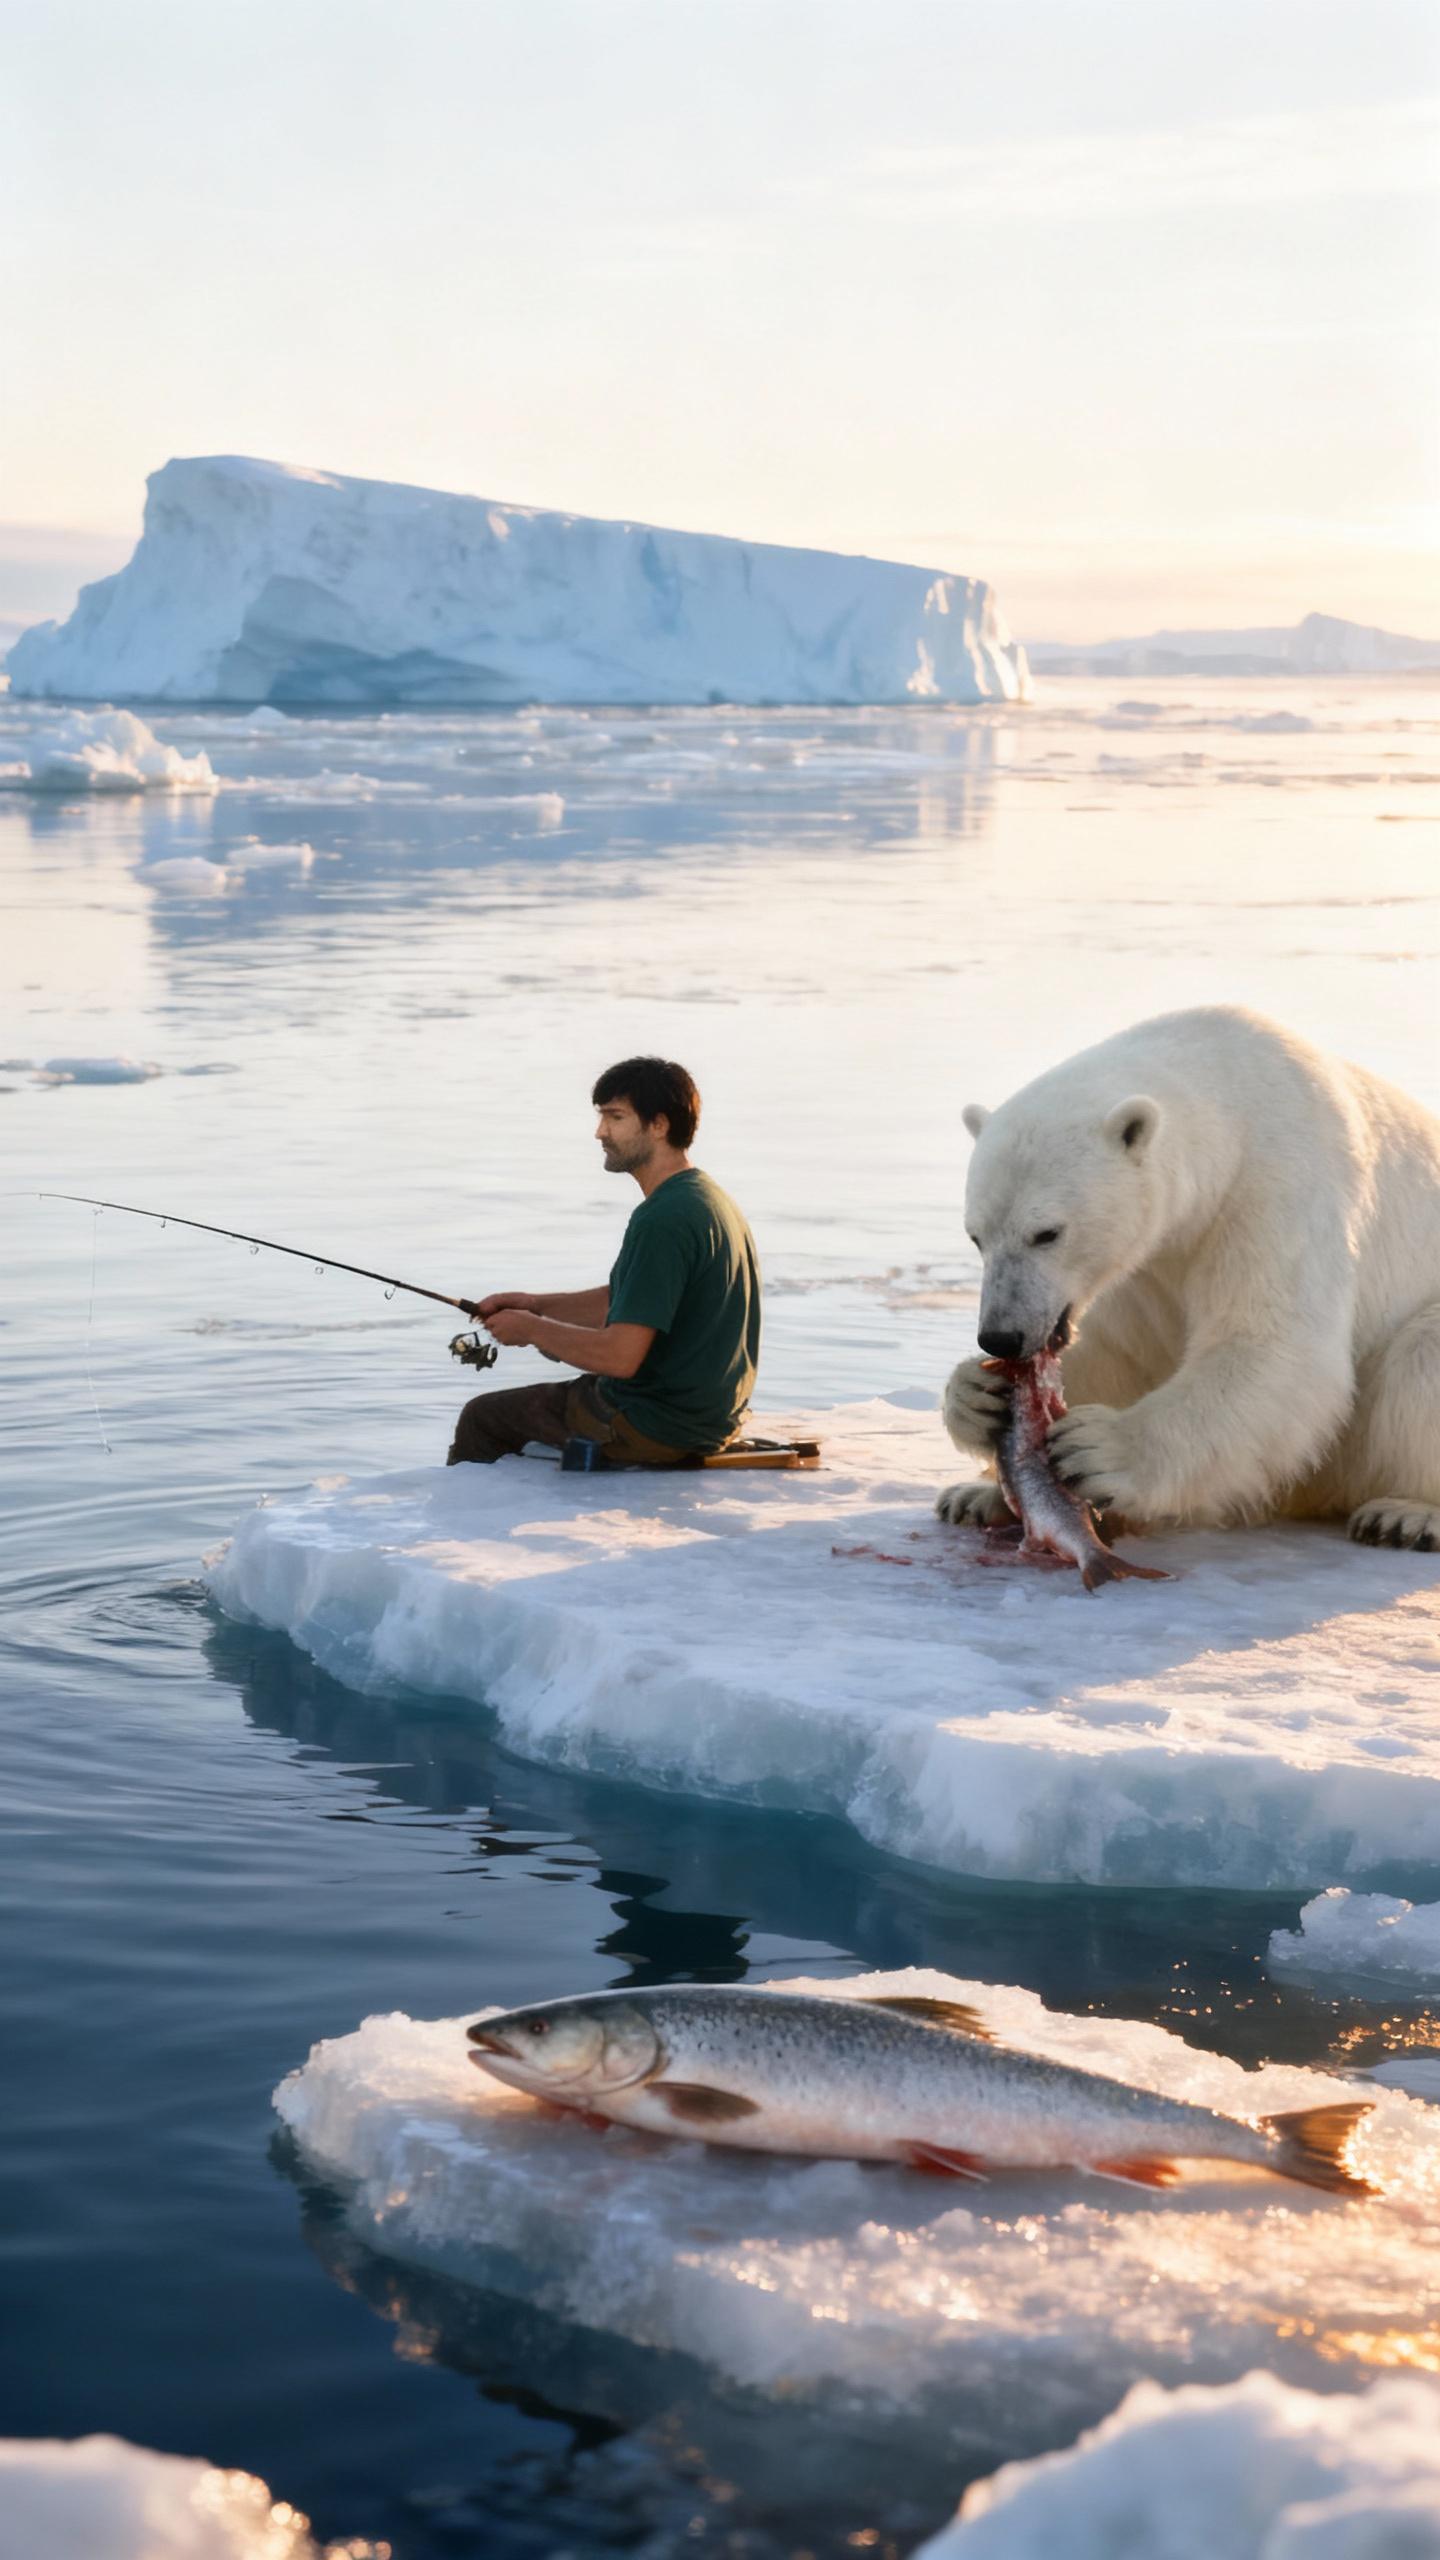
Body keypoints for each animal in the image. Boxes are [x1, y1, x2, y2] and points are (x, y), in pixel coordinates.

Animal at [936, 1007, 1440, 1550]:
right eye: (976, 1237)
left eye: (1046, 1233)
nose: (1000, 1336)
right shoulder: (1145, 1264)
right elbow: (1111, 1351)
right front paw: (973, 1395)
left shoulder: (1279, 1185)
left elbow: (1274, 1345)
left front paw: (1100, 1449)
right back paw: (974, 1498)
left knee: (1421, 1358)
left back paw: (1405, 1514)